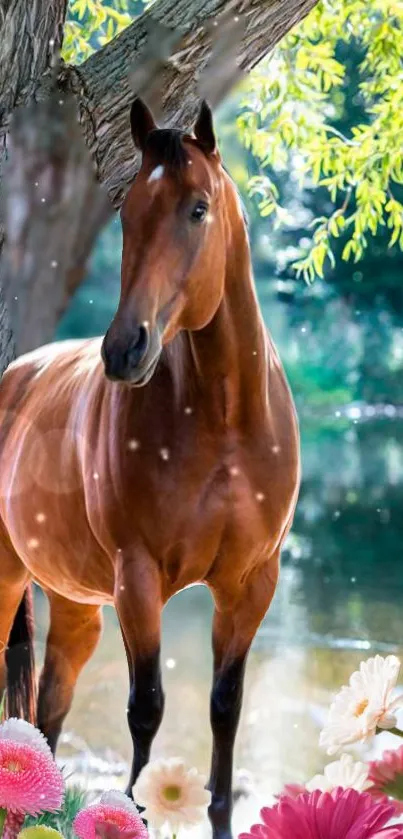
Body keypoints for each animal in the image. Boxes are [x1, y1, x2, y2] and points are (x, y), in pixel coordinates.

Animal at [0, 100, 300, 839]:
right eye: (130, 211)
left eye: (197, 209)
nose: (124, 349)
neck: (224, 422)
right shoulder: (137, 579)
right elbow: (148, 707)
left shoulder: (250, 583)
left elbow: (225, 706)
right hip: (10, 578)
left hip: (76, 605)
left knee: (48, 709)